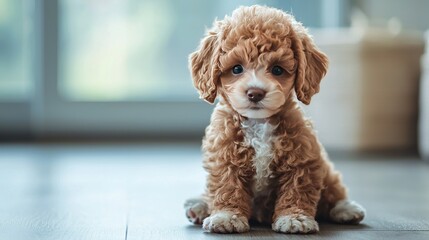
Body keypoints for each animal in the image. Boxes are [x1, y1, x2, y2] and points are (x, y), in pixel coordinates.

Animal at [184, 5, 364, 233]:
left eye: (277, 69)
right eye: (236, 68)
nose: (255, 93)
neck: (259, 123)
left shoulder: (302, 160)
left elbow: (297, 190)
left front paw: (295, 218)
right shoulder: (224, 159)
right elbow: (227, 187)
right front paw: (226, 216)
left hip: (326, 170)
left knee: (333, 189)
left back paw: (345, 208)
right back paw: (198, 206)